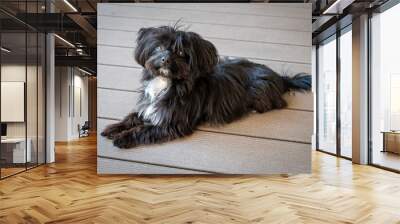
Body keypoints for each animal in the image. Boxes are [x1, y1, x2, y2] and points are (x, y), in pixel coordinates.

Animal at [101, 25, 312, 149]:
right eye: (159, 47)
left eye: (180, 52)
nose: (165, 59)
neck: (167, 82)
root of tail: (281, 78)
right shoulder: (148, 107)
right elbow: (133, 117)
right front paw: (114, 128)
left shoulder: (172, 124)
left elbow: (144, 130)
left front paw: (123, 138)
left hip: (260, 90)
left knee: (277, 104)